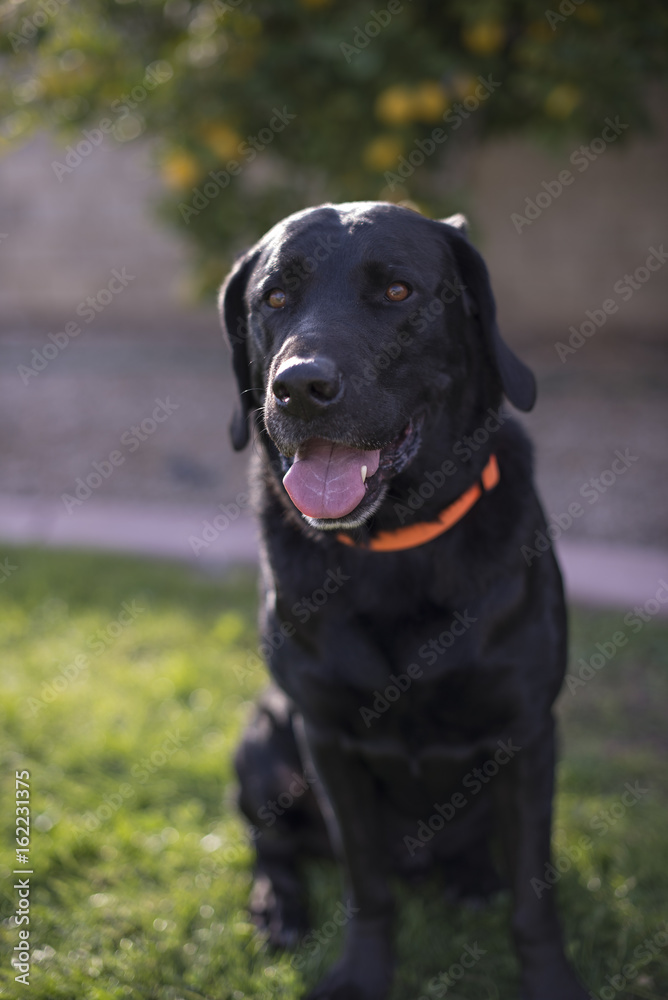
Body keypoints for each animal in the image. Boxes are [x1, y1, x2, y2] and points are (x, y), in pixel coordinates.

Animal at [218, 203, 584, 1000]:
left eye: (397, 292)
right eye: (274, 298)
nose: (299, 387)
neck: (395, 548)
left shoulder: (528, 734)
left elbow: (535, 895)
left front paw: (549, 978)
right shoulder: (326, 739)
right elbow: (367, 886)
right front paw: (360, 974)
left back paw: (472, 878)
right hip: (261, 743)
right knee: (272, 844)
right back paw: (277, 908)